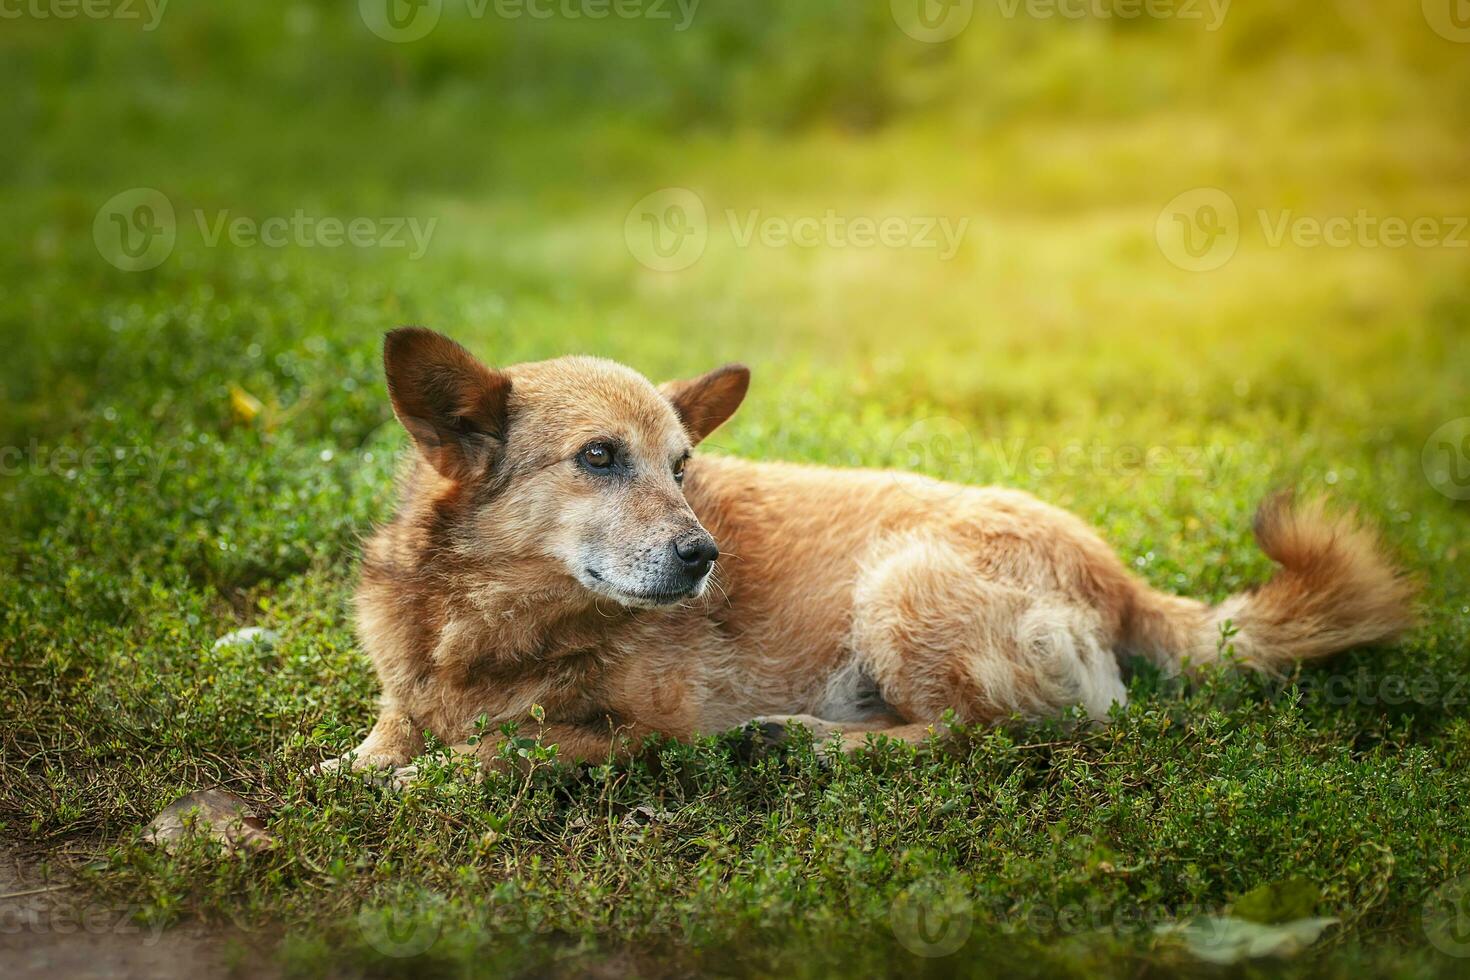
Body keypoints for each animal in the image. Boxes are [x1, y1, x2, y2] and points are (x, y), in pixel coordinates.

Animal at [318, 329, 1411, 781]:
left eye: (682, 464)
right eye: (598, 457)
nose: (706, 556)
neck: (485, 624)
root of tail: (1117, 572)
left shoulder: (643, 733)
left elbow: (508, 748)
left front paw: (423, 779)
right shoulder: (408, 690)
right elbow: (382, 736)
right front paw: (355, 765)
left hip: (899, 585)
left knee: (995, 736)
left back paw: (812, 740)